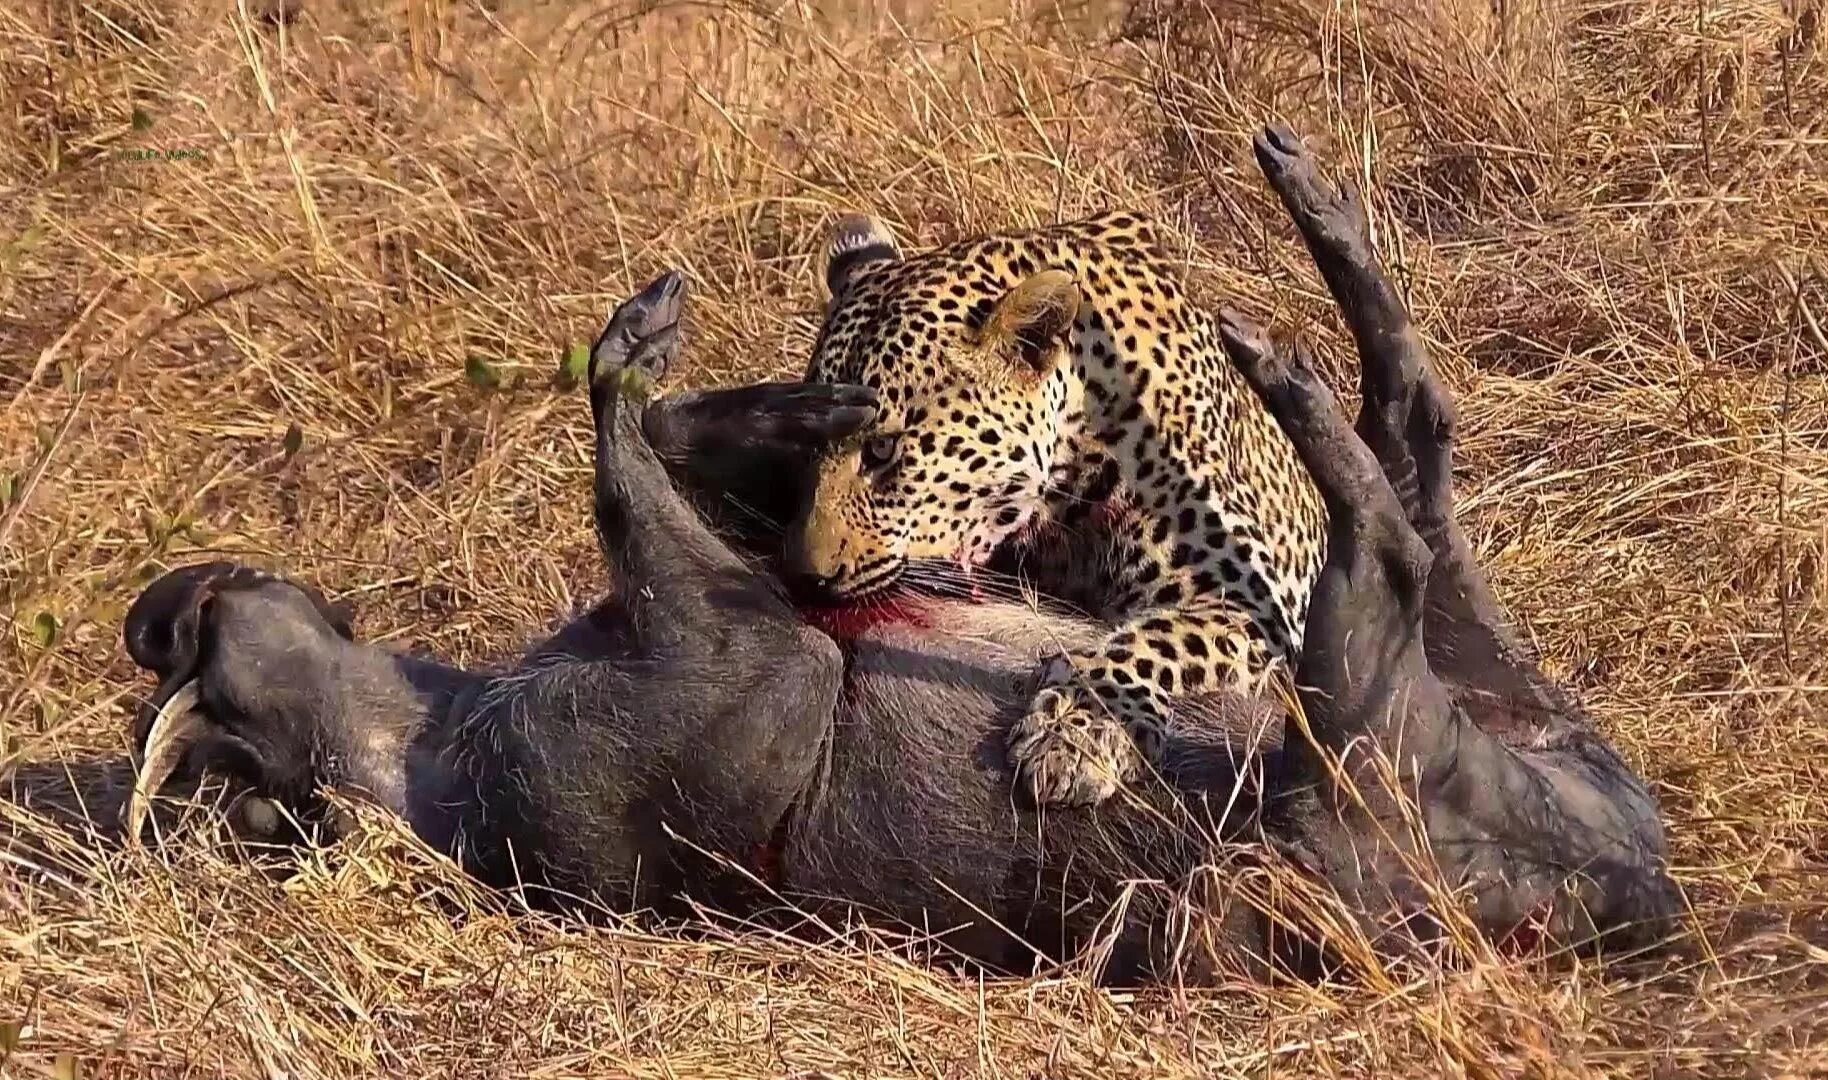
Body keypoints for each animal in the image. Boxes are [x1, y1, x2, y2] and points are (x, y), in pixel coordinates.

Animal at [789, 207, 1330, 807]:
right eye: (809, 438)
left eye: (882, 450)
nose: (803, 578)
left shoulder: (1261, 604)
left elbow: (1158, 638)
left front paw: (1077, 728)